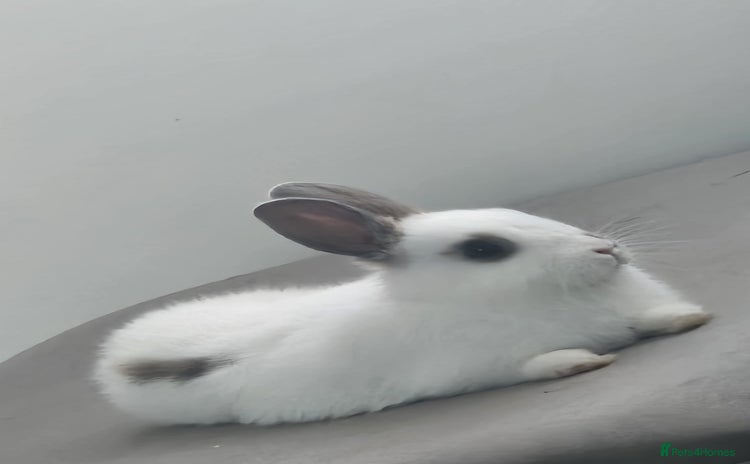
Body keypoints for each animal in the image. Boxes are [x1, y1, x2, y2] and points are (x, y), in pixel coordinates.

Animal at [93, 182, 711, 425]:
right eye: (485, 250)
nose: (606, 248)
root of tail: (117, 359)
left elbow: (654, 318)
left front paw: (688, 317)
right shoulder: (473, 370)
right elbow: (533, 365)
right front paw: (579, 361)